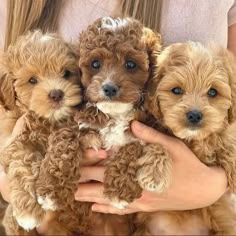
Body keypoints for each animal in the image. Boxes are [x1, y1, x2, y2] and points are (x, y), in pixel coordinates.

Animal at [0, 31, 84, 236]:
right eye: (32, 80)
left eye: (66, 73)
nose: (56, 94)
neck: (48, 120)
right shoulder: (16, 138)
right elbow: (21, 161)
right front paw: (27, 212)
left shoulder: (73, 126)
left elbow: (63, 149)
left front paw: (51, 193)